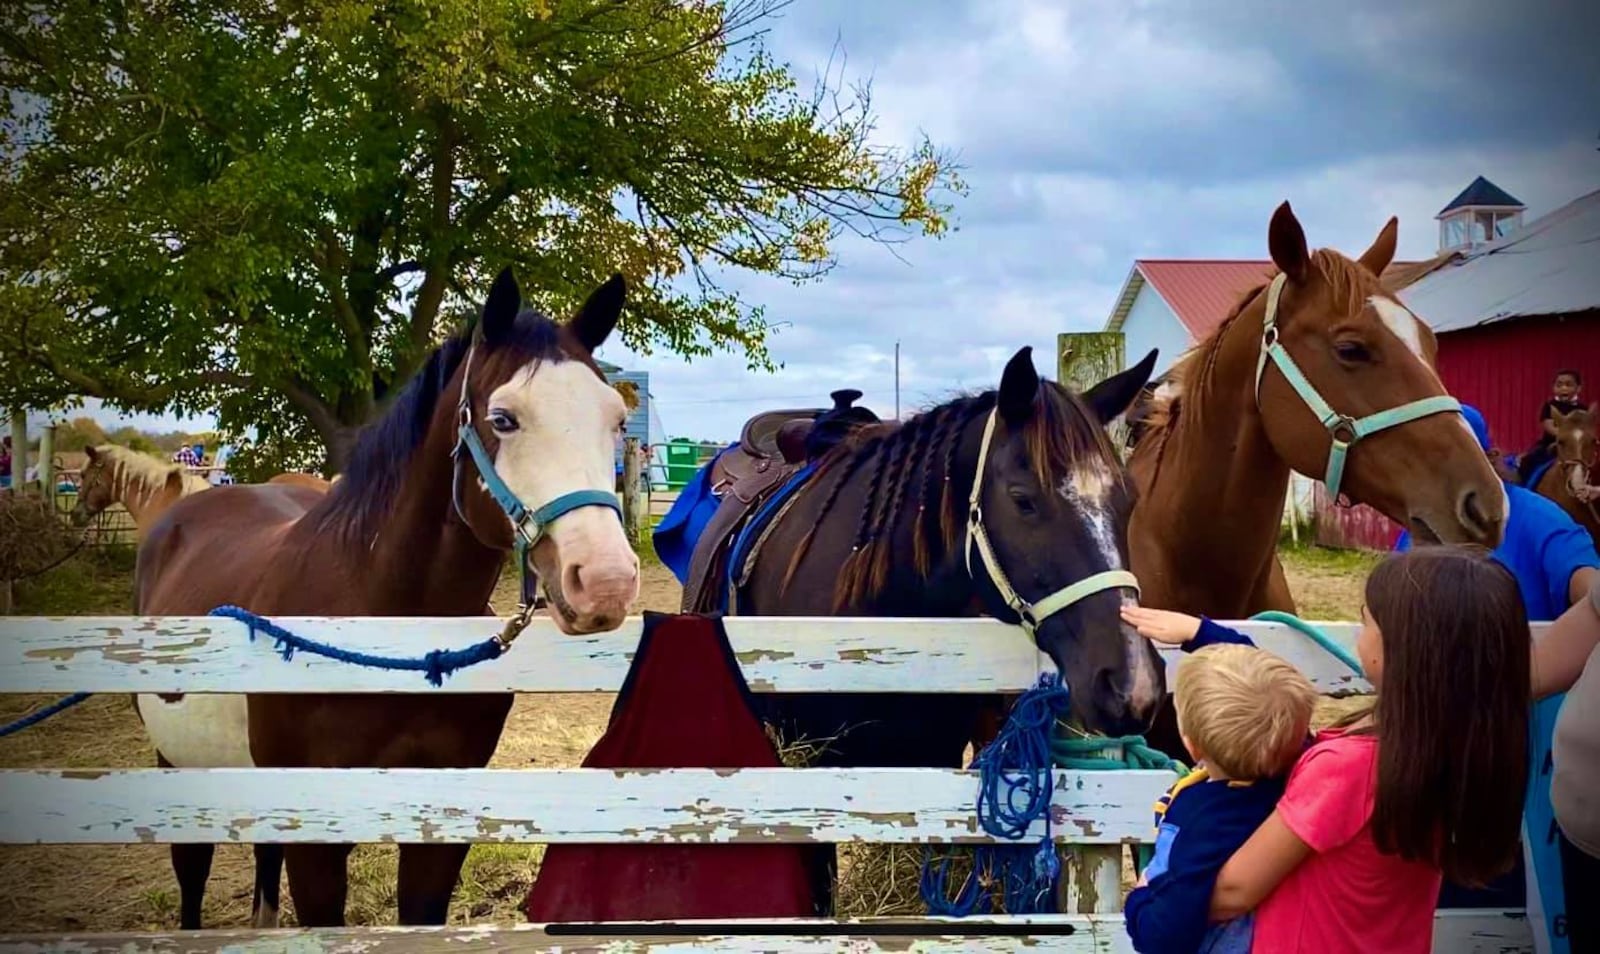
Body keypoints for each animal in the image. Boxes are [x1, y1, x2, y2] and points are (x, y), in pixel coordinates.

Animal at [132, 264, 636, 928]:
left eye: (617, 421)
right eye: (504, 418)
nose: (606, 580)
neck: (390, 637)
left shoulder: (438, 824)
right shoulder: (318, 839)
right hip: (180, 766)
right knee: (192, 871)